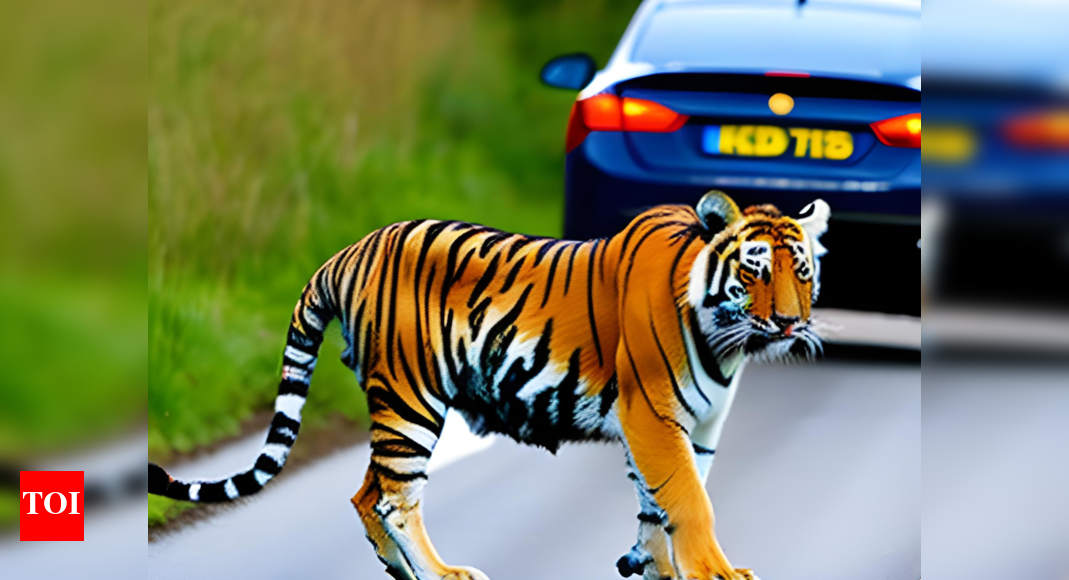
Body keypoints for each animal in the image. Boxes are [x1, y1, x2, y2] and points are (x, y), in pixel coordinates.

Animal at [149, 190, 830, 580]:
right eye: (754, 271)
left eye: (801, 272)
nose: (791, 322)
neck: (726, 342)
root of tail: (349, 251)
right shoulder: (653, 418)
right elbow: (688, 500)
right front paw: (714, 572)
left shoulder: (699, 426)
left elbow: (659, 504)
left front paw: (655, 567)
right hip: (411, 399)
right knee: (395, 498)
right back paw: (444, 574)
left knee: (368, 492)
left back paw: (404, 574)